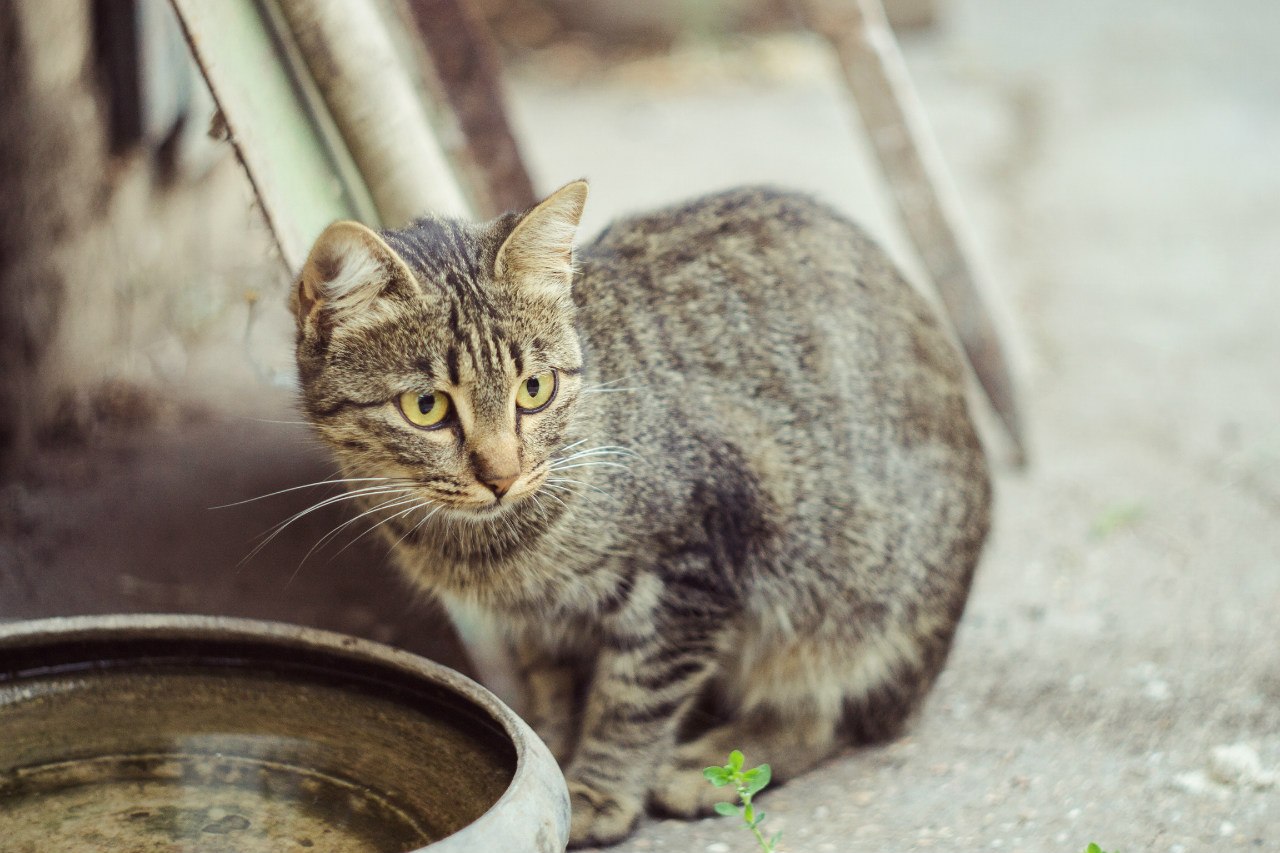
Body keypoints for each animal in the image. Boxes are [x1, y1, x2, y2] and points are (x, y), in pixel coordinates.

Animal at [288, 180, 988, 845]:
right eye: (427, 407)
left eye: (534, 390)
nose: (503, 476)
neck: (492, 549)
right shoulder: (542, 626)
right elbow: (557, 695)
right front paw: (545, 756)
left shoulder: (694, 565)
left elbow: (632, 701)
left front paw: (596, 793)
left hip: (847, 592)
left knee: (831, 712)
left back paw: (714, 767)